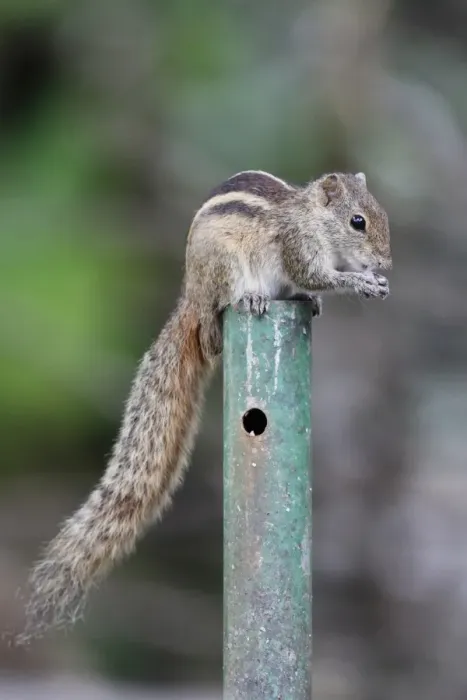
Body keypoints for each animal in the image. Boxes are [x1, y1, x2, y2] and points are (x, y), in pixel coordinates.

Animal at [17, 169, 391, 643]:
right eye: (358, 222)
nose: (384, 264)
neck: (310, 218)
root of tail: (190, 296)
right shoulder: (298, 249)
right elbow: (316, 275)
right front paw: (359, 283)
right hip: (224, 271)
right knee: (214, 330)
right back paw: (248, 301)